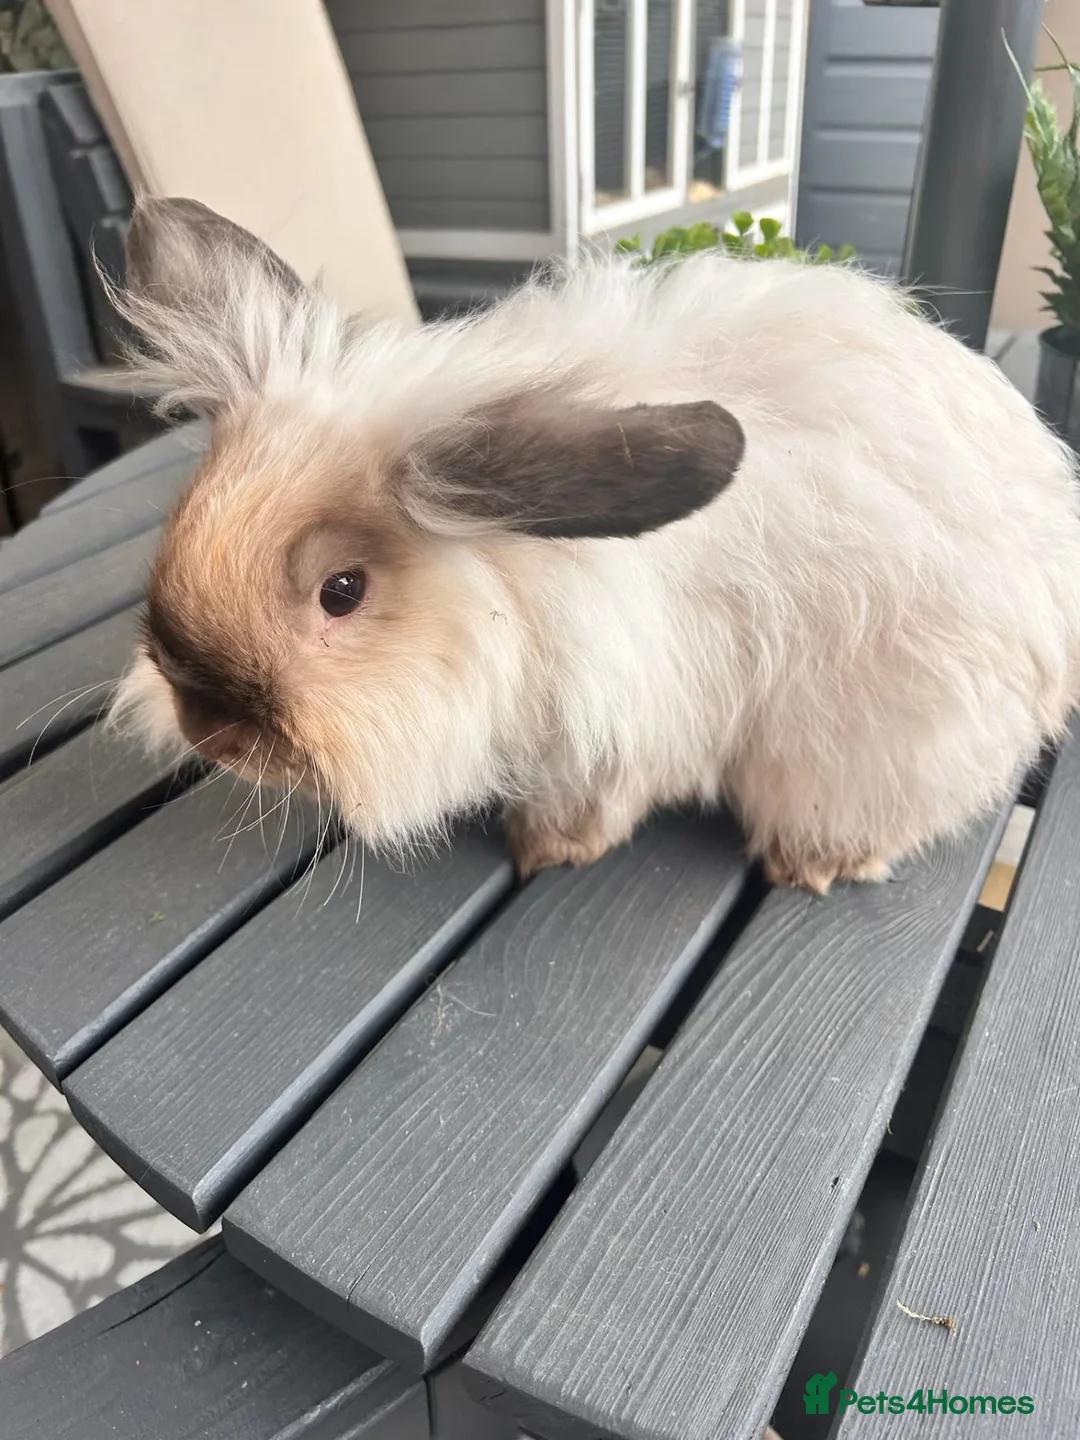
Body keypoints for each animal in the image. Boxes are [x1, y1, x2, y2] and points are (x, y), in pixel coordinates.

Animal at [108, 196, 1080, 894]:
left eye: (342, 591)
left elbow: (596, 805)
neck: (513, 587)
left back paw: (817, 866)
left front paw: (544, 849)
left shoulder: (624, 729)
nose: (210, 734)